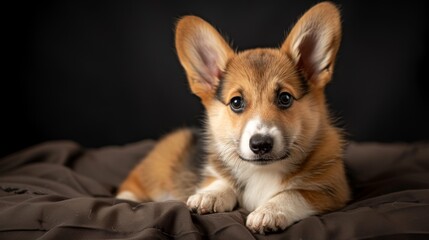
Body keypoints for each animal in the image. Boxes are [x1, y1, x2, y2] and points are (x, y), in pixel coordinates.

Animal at [117, 1, 348, 233]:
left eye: (285, 98)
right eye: (236, 102)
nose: (260, 144)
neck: (263, 171)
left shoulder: (332, 189)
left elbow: (293, 193)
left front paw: (268, 212)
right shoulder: (213, 173)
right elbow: (222, 181)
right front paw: (209, 195)